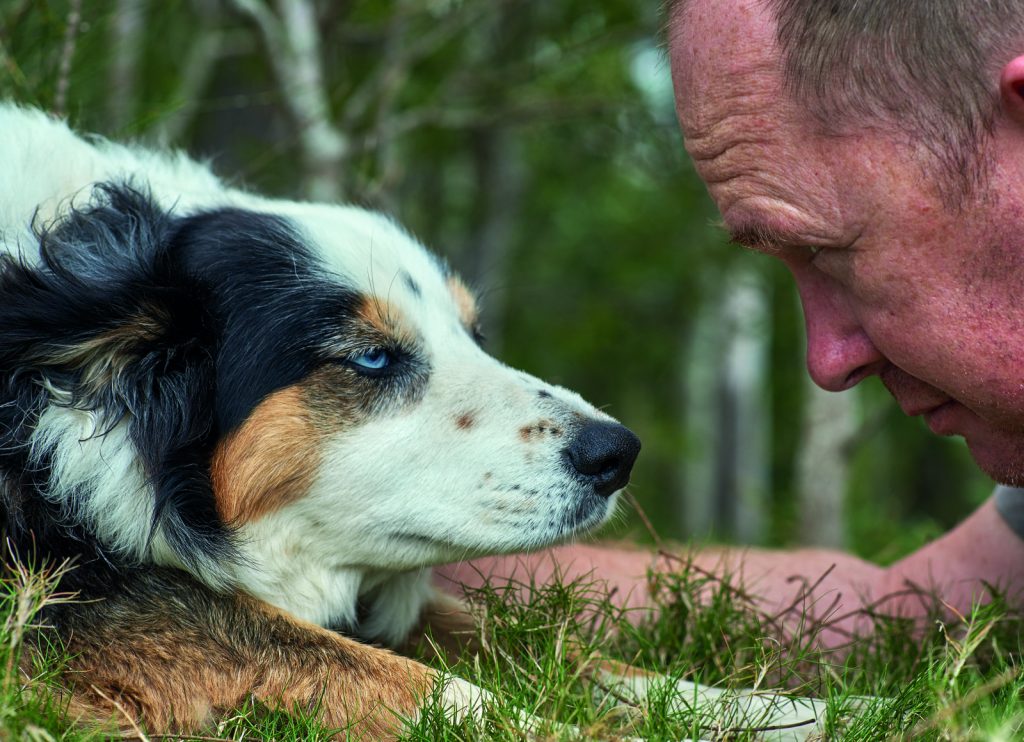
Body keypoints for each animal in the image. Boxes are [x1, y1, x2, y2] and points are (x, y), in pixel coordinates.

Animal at [0, 106, 638, 736]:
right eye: (372, 358)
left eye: (475, 336)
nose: (618, 454)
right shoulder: (80, 600)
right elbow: (388, 675)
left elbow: (524, 638)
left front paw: (661, 693)